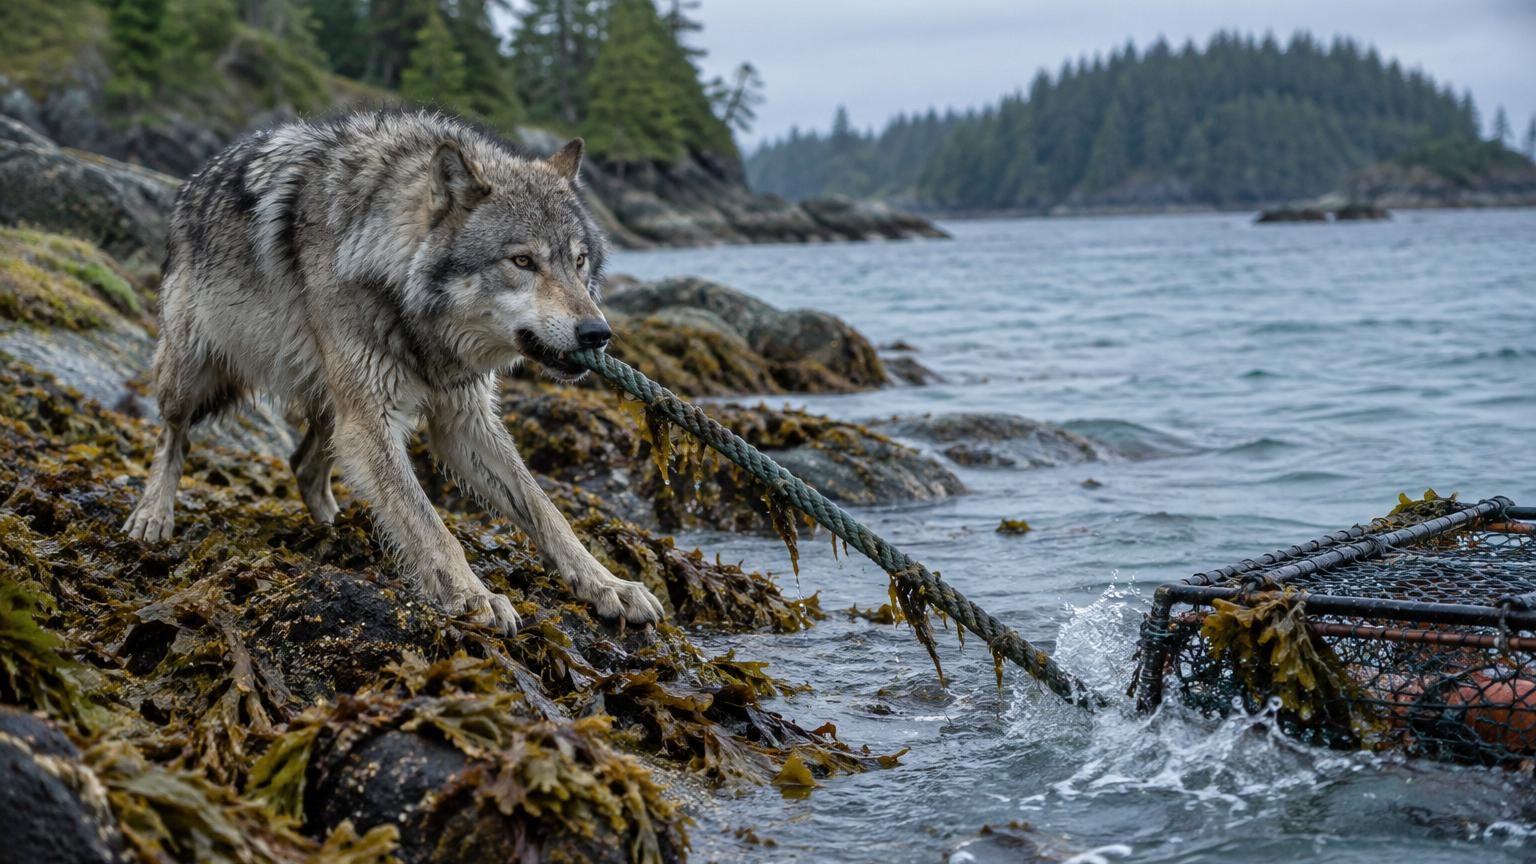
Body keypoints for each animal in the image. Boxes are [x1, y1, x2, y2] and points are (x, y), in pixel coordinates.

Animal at [122, 109, 663, 633]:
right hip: (192, 375)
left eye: (579, 261)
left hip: (331, 405)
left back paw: (335, 526)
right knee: (173, 436)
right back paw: (153, 514)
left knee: (304, 464)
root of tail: (194, 180)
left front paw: (607, 584)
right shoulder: (373, 421)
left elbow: (547, 512)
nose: (597, 333)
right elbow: (428, 522)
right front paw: (473, 596)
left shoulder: (463, 420)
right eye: (523, 261)